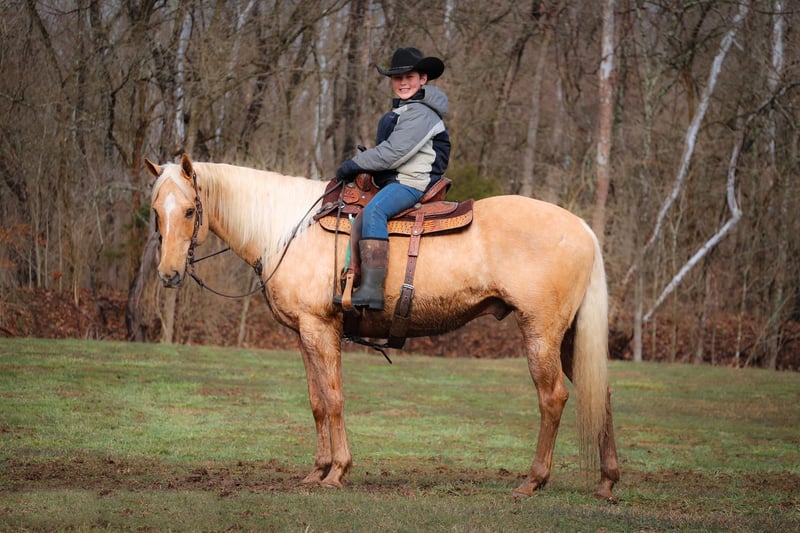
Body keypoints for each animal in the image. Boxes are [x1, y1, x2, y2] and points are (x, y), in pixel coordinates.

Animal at [146, 153, 620, 500]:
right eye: (155, 211)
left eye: (189, 210)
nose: (168, 274)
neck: (288, 232)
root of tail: (582, 227)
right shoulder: (303, 334)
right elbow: (316, 402)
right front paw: (316, 471)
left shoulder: (321, 329)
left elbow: (334, 399)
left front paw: (337, 472)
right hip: (569, 339)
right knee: (600, 393)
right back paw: (607, 481)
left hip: (541, 333)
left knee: (553, 397)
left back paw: (533, 480)